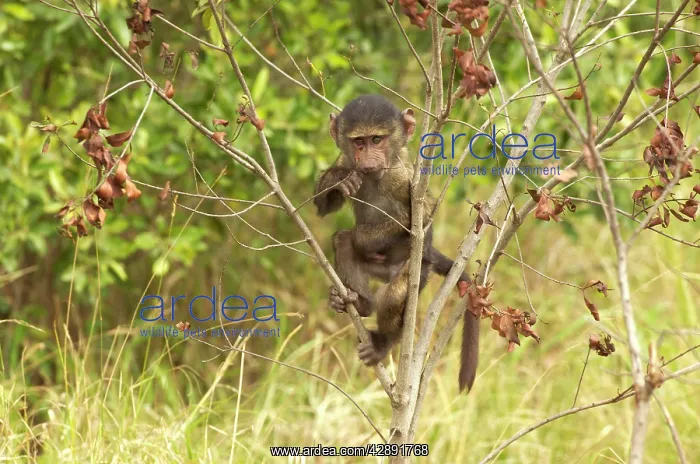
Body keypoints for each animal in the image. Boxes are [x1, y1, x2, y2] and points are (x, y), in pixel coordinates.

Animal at [313, 94, 480, 392]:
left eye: (377, 140)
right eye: (359, 142)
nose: (368, 160)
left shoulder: (403, 180)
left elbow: (418, 220)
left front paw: (363, 239)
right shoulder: (346, 159)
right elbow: (323, 206)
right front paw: (338, 180)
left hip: (416, 269)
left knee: (393, 293)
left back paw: (382, 342)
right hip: (377, 271)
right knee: (342, 241)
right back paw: (361, 303)